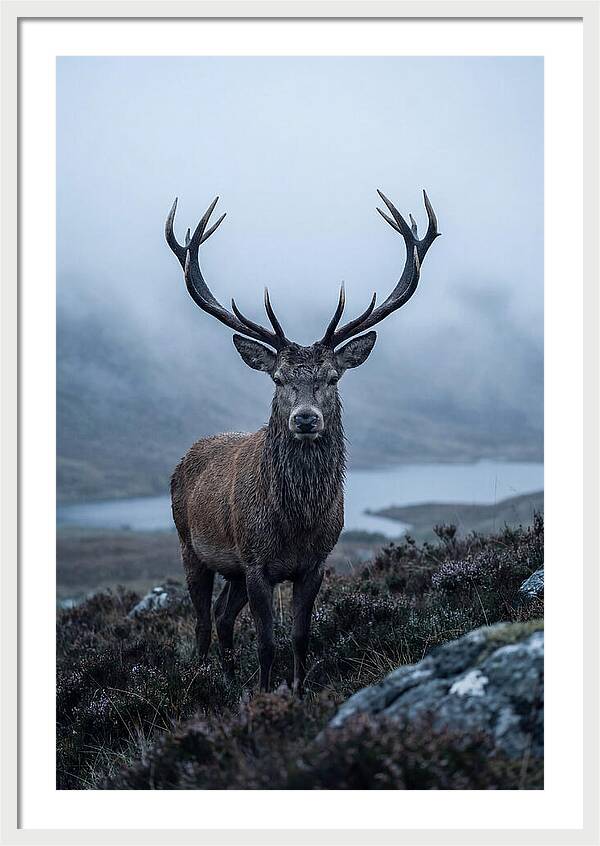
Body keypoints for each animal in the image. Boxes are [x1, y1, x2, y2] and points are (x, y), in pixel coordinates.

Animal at [165, 189, 439, 695]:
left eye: (332, 377)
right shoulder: (256, 562)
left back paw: (229, 678)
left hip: (231, 568)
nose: (306, 419)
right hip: (190, 546)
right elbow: (266, 642)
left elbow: (299, 636)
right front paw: (264, 693)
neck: (295, 523)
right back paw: (203, 678)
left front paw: (296, 690)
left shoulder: (314, 563)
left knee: (222, 616)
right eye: (278, 379)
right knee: (201, 621)